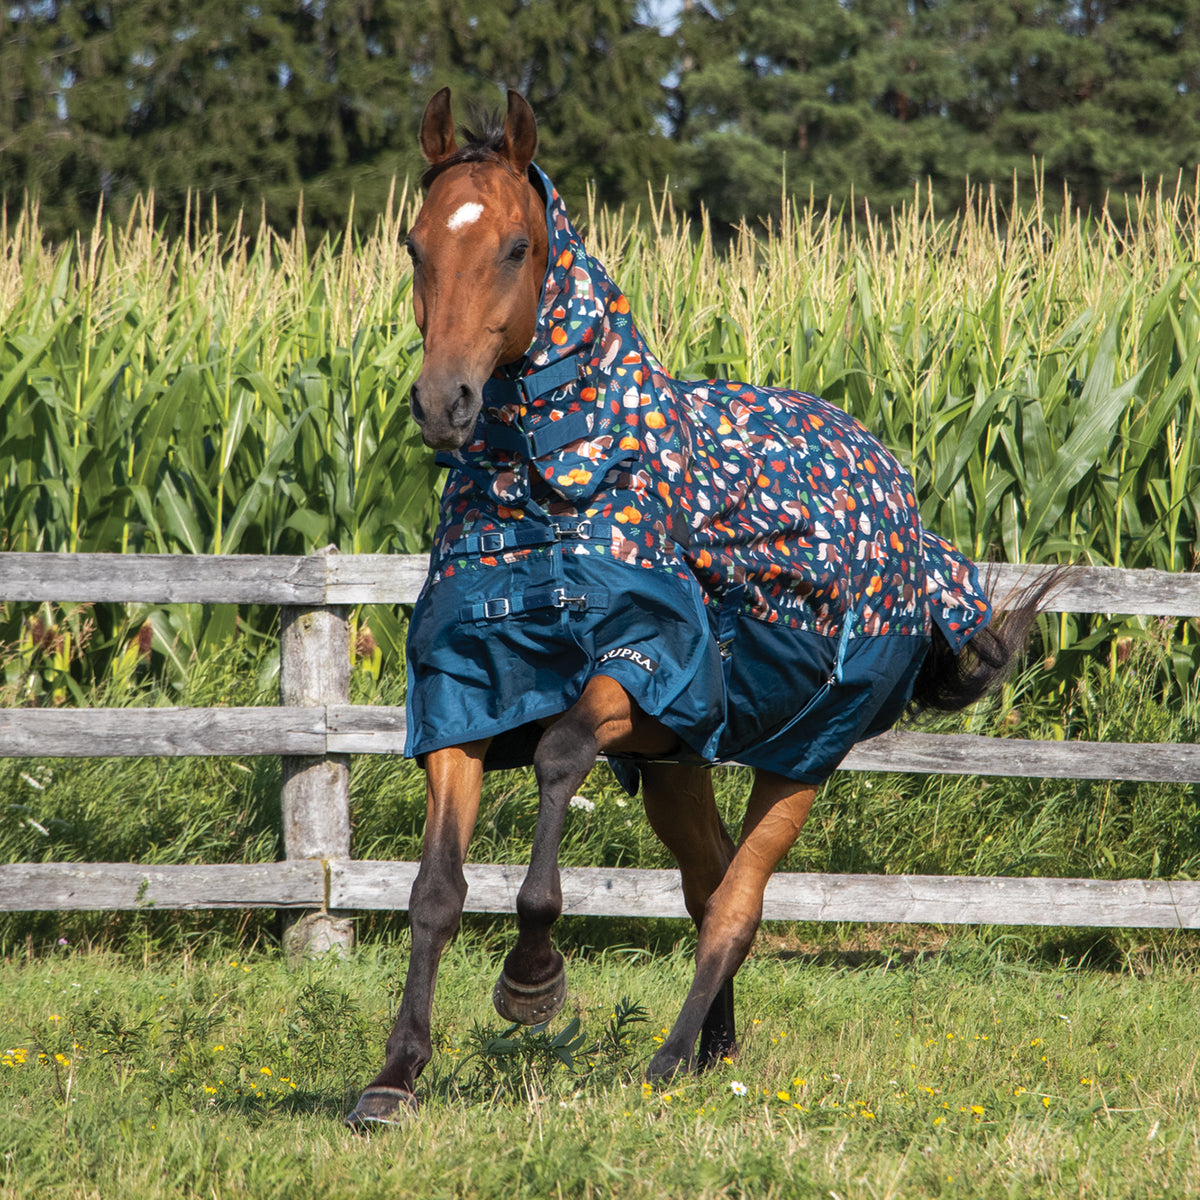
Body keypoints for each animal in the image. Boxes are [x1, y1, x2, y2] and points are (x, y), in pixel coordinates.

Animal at [345, 87, 1051, 1128]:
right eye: (413, 243)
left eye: (515, 247)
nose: (445, 402)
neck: (556, 501)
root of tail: (899, 505)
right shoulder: (466, 695)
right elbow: (434, 890)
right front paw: (394, 1077)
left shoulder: (645, 672)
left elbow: (559, 755)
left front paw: (532, 980)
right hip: (677, 767)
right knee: (705, 880)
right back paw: (715, 1046)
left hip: (800, 759)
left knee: (734, 903)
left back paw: (672, 1058)